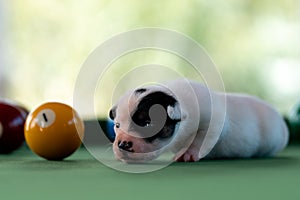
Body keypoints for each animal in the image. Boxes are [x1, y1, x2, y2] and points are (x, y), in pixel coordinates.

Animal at [109, 79, 290, 163]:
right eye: (117, 125)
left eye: (148, 123)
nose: (123, 144)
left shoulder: (213, 119)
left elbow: (202, 137)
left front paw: (189, 152)